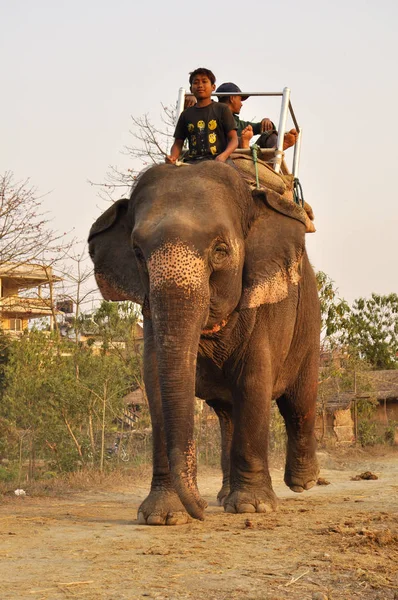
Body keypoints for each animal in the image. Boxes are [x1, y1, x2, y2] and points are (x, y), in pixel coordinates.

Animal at [88, 163, 320, 524]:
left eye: (220, 251)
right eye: (138, 253)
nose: (200, 510)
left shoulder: (266, 305)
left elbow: (254, 382)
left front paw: (252, 507)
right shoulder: (150, 315)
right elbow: (155, 383)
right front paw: (162, 517)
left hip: (309, 324)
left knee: (299, 400)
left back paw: (303, 483)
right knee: (228, 414)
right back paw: (224, 495)